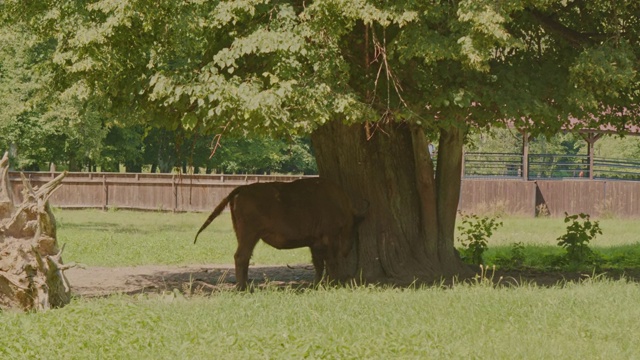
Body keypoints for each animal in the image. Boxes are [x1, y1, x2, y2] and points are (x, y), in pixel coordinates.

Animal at [194, 179, 364, 292]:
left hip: (244, 235)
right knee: (241, 256)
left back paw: (246, 285)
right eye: (354, 228)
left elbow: (319, 264)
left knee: (245, 257)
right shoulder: (330, 238)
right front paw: (333, 284)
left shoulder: (314, 243)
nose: (348, 249)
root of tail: (242, 189)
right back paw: (243, 288)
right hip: (250, 235)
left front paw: (317, 285)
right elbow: (331, 262)